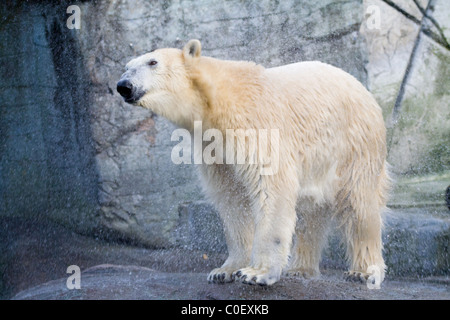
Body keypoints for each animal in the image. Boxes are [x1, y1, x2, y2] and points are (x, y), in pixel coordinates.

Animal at [118, 38, 388, 286]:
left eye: (152, 62)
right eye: (127, 66)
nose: (123, 85)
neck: (218, 103)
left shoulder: (257, 128)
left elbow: (271, 189)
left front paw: (256, 273)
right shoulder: (214, 149)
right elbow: (232, 199)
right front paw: (224, 270)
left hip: (355, 145)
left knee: (359, 205)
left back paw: (364, 272)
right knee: (313, 212)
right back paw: (301, 269)